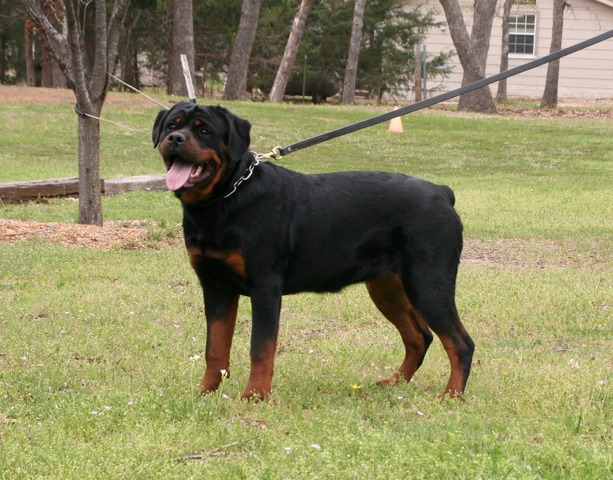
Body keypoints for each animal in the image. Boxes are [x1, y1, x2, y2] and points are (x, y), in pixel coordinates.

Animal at [152, 103, 474, 400]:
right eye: (171, 126)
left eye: (204, 131)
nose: (176, 138)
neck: (223, 200)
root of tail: (442, 192)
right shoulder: (215, 286)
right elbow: (215, 347)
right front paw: (205, 391)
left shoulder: (265, 286)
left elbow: (261, 347)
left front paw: (255, 395)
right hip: (387, 287)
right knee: (419, 337)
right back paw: (394, 382)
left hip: (428, 282)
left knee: (460, 342)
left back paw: (451, 395)